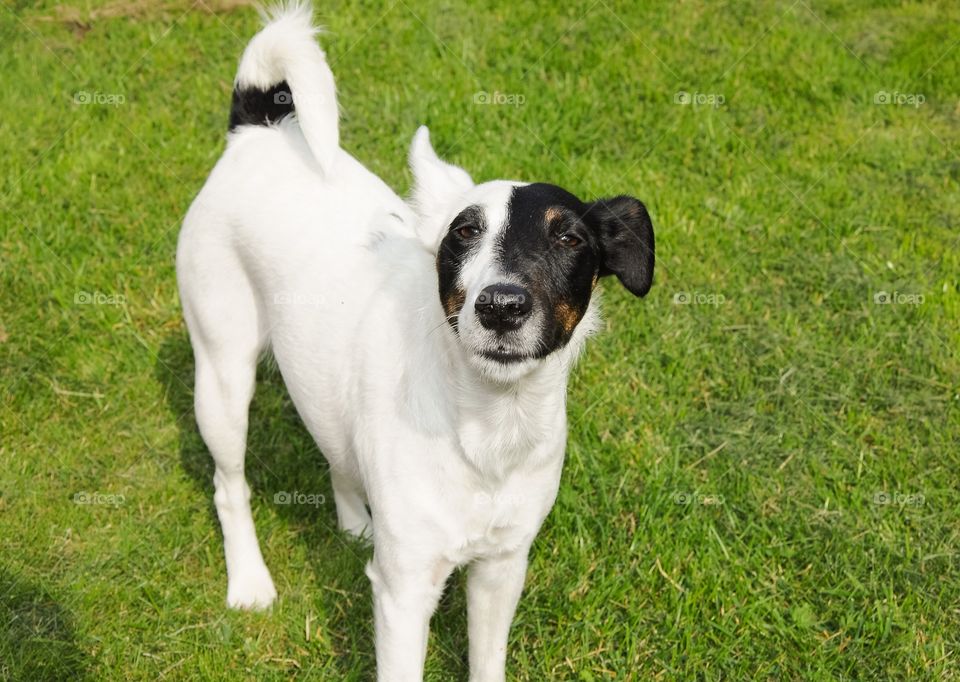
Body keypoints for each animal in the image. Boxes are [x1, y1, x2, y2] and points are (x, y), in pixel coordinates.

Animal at [174, 3, 652, 676]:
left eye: (569, 239)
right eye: (464, 233)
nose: (501, 306)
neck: (487, 426)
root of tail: (258, 131)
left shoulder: (501, 569)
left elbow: (486, 661)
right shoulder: (404, 593)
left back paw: (355, 523)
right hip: (221, 376)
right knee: (228, 485)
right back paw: (249, 581)